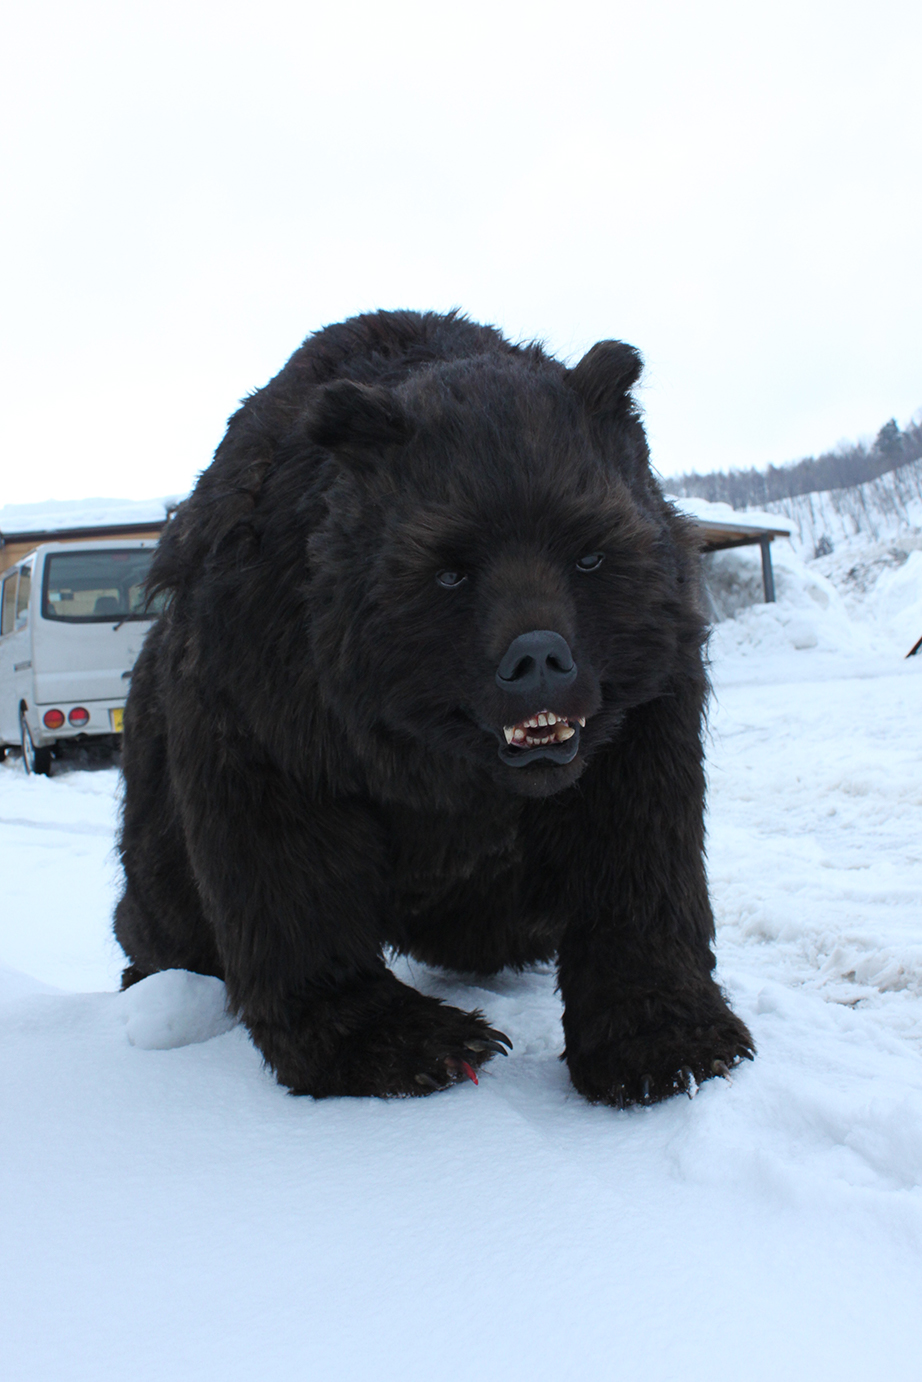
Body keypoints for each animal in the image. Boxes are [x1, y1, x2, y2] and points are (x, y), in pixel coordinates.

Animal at [115, 308, 751, 1105]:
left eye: (589, 552)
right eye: (449, 570)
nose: (537, 660)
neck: (436, 759)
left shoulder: (640, 716)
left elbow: (637, 853)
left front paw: (668, 1041)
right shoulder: (268, 705)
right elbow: (286, 881)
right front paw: (412, 1042)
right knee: (163, 910)